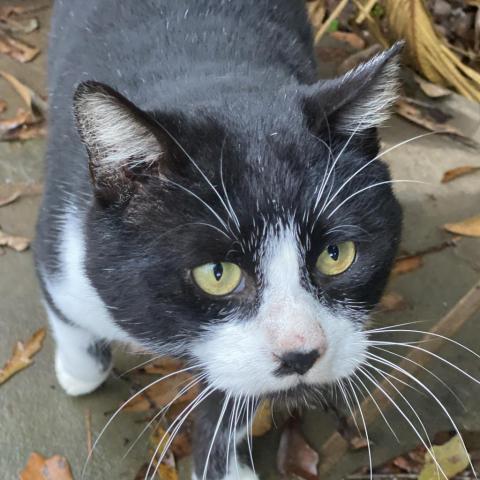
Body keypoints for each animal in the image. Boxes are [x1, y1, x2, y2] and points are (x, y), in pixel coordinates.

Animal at [33, 0, 404, 480]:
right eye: (216, 273)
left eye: (336, 255)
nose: (300, 354)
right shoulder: (61, 244)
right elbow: (70, 315)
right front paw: (78, 373)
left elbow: (233, 395)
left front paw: (225, 465)